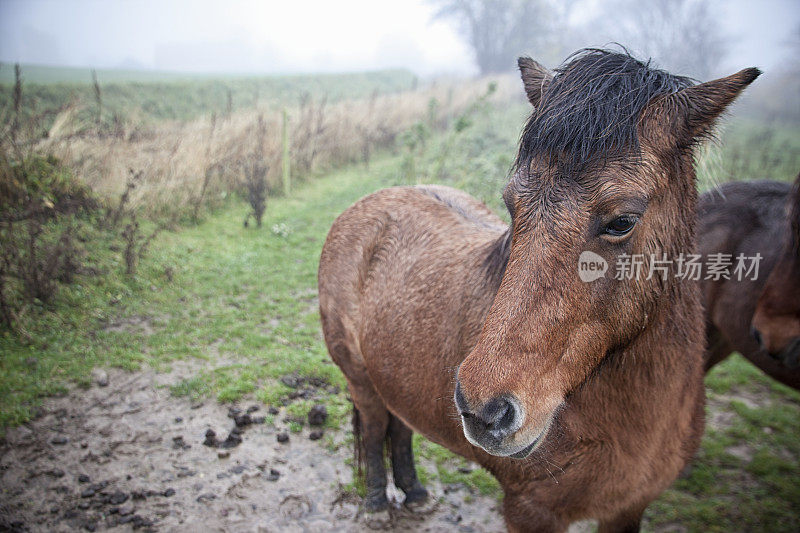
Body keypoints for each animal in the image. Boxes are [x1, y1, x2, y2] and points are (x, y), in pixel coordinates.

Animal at [318, 47, 756, 528]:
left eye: (622, 221)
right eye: (512, 205)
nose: (484, 411)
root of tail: (369, 205)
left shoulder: (629, 508)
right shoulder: (531, 512)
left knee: (399, 426)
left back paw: (413, 491)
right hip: (359, 378)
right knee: (376, 424)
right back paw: (378, 499)